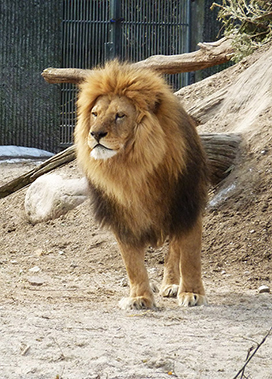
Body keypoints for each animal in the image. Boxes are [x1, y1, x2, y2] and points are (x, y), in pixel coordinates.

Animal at [74, 60, 208, 310]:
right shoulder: (122, 217)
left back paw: (173, 285)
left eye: (120, 115)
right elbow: (132, 263)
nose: (95, 133)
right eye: (95, 114)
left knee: (175, 250)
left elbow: (190, 255)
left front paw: (192, 293)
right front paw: (140, 298)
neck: (133, 168)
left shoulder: (187, 206)